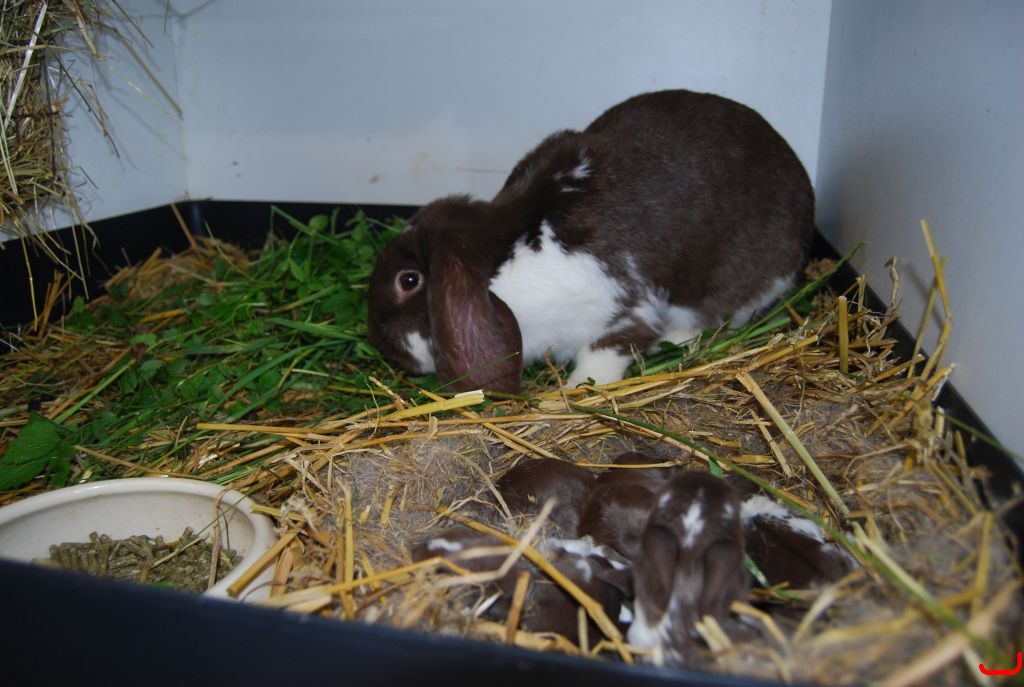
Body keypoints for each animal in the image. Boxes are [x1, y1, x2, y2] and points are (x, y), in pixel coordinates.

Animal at [367, 89, 814, 393]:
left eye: (409, 280)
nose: (381, 344)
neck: (507, 260)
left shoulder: (626, 308)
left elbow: (607, 350)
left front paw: (577, 387)